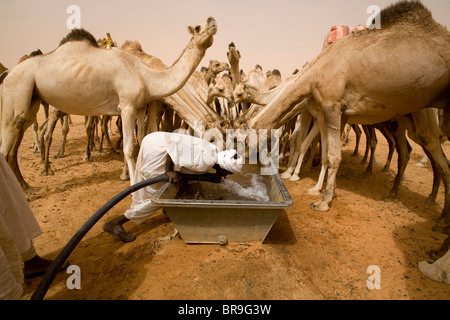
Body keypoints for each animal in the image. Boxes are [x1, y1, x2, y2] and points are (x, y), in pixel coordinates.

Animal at [0, 17, 218, 188]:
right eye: (197, 27)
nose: (212, 20)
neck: (147, 75)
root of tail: (8, 73)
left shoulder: (141, 106)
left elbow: (143, 139)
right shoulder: (128, 106)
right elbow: (130, 147)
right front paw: (132, 183)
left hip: (32, 100)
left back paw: (27, 185)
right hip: (19, 90)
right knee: (19, 131)